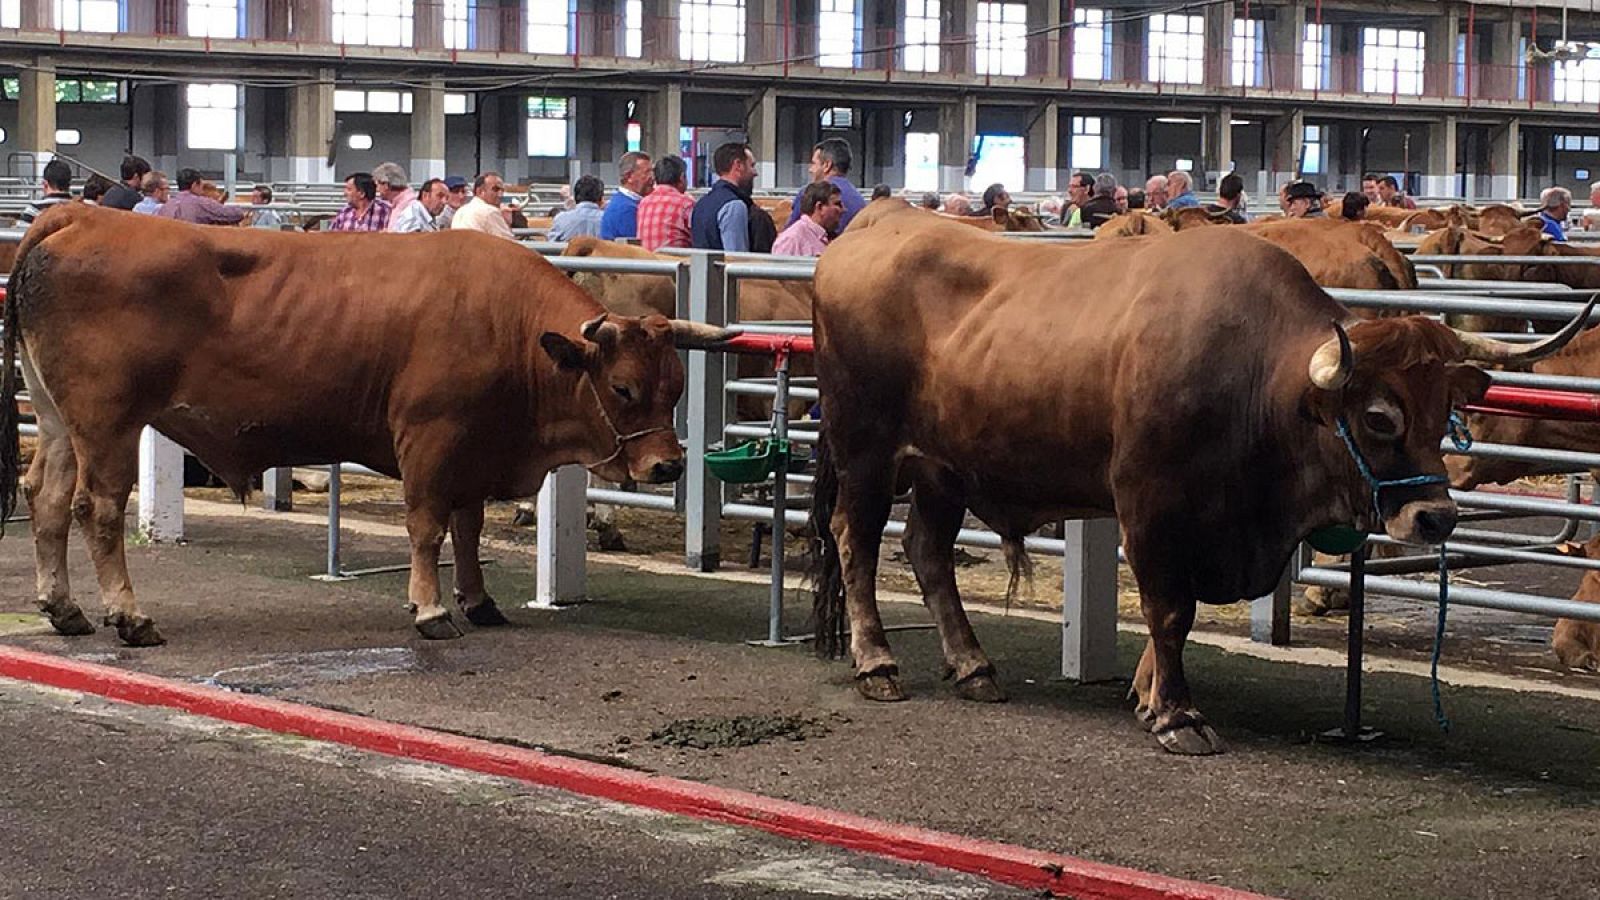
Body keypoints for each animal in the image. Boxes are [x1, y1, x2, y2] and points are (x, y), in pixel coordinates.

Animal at [0, 203, 726, 640]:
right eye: (623, 387)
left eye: (677, 386)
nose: (668, 464)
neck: (507, 321)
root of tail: (79, 214)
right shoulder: (430, 438)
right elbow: (429, 527)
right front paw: (431, 608)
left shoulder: (473, 450)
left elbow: (468, 529)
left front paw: (479, 601)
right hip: (108, 423)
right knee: (97, 508)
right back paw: (129, 615)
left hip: (60, 421)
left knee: (47, 499)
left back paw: (64, 609)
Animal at [812, 203, 1587, 749]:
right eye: (1377, 416)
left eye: (1443, 411)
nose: (1436, 518)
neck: (1253, 375)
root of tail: (875, 224)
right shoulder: (1149, 505)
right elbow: (1169, 611)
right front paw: (1177, 714)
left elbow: (1171, 620)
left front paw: (1149, 693)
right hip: (866, 451)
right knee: (855, 540)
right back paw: (877, 663)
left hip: (943, 470)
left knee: (928, 553)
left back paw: (974, 665)